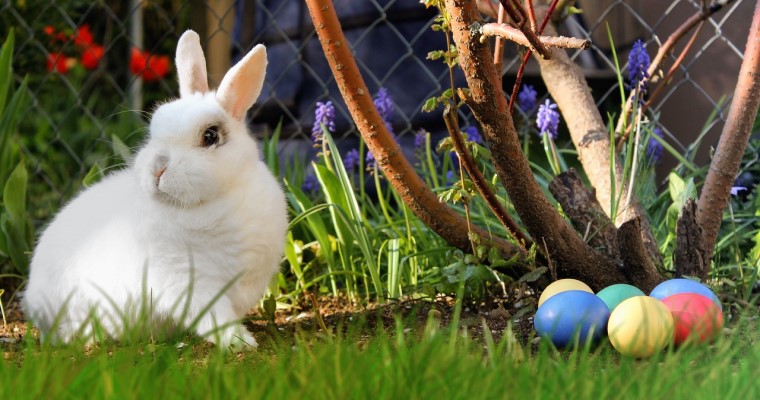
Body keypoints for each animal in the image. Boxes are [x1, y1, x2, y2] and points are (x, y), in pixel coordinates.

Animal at [21, 30, 288, 350]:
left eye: (210, 136)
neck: (214, 202)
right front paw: (240, 342)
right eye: (154, 129)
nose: (157, 168)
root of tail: (32, 301)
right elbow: (214, 317)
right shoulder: (188, 282)